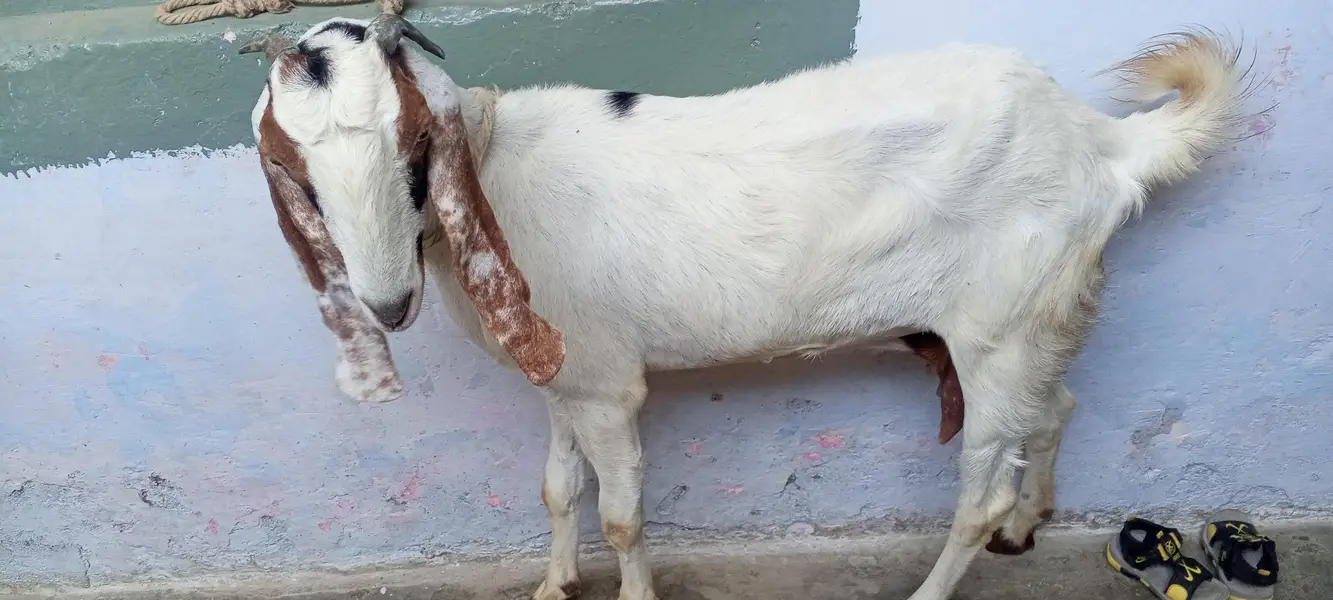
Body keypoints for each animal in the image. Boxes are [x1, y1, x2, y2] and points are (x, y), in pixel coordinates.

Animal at [242, 15, 1248, 600]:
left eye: (415, 144)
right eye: (295, 166)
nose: (387, 301)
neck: (496, 163)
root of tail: (1100, 144)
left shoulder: (607, 387)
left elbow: (620, 515)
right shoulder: (567, 372)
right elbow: (558, 488)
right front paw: (553, 585)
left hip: (999, 323)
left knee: (978, 483)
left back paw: (949, 569)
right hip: (1042, 315)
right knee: (1056, 406)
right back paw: (1025, 521)